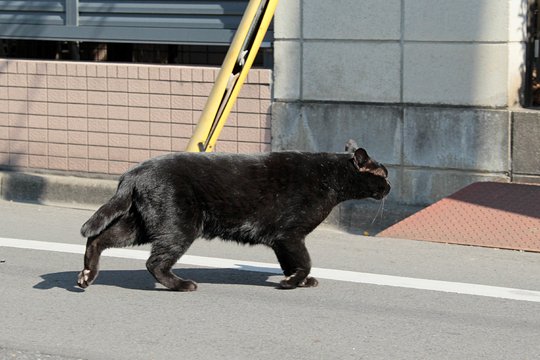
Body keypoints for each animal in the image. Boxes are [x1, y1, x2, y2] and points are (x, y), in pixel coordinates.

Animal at [78, 141, 390, 292]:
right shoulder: (291, 234)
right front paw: (292, 282)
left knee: (98, 238)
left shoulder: (281, 241)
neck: (330, 177)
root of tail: (133, 173)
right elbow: (305, 261)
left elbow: (290, 263)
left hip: (140, 225)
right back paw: (182, 285)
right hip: (179, 226)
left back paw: (86, 276)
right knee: (154, 263)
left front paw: (296, 280)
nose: (390, 186)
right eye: (384, 174)